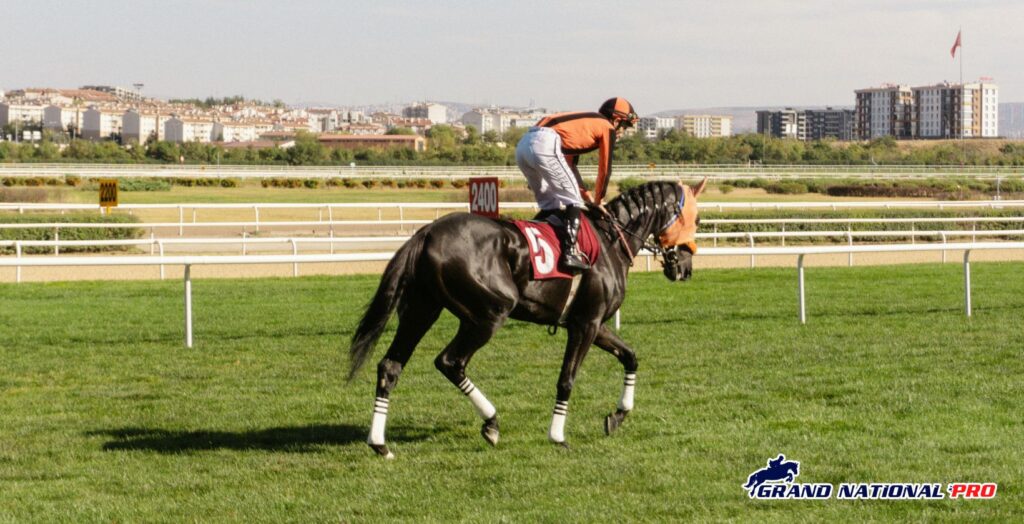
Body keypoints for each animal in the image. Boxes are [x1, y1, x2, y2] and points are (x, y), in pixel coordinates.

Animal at [344, 178, 704, 456]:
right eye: (697, 219)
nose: (685, 267)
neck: (610, 241)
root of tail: (428, 233)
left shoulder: (595, 324)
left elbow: (630, 357)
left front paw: (618, 415)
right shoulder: (585, 324)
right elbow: (567, 378)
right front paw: (557, 436)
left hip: (422, 310)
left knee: (390, 366)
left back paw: (380, 444)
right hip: (489, 313)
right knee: (450, 361)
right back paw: (490, 422)